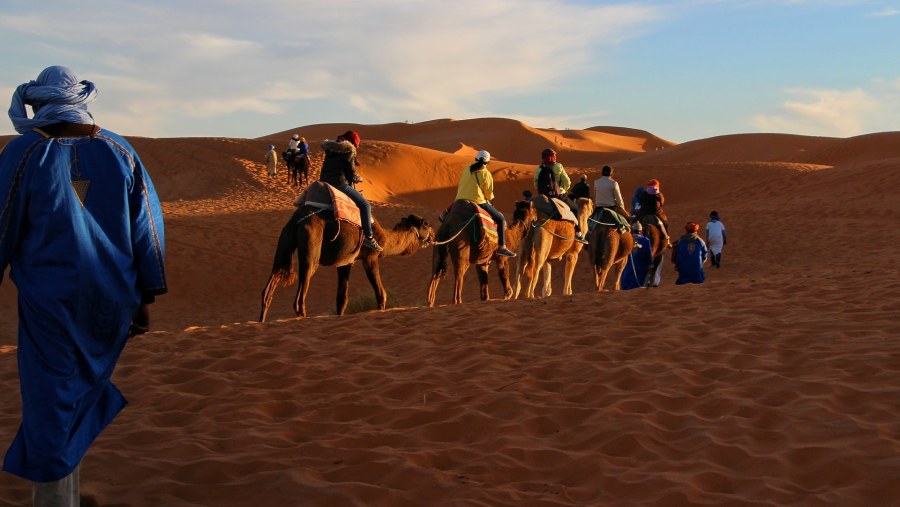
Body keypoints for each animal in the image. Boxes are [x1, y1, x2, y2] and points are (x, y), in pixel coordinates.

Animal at [258, 207, 434, 322]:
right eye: (425, 224)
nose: (433, 234)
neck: (383, 239)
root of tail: (296, 221)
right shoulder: (370, 258)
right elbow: (381, 293)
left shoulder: (346, 262)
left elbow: (341, 298)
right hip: (311, 249)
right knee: (300, 293)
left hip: (285, 242)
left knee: (272, 282)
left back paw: (262, 321)